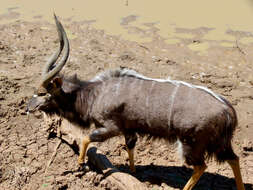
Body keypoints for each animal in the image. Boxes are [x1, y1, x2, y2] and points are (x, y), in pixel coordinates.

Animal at [26, 15, 244, 189]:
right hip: (219, 144)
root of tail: (228, 110)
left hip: (191, 143)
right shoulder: (129, 130)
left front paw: (80, 164)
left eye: (42, 93)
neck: (93, 94)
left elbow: (87, 138)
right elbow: (130, 148)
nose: (28, 108)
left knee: (201, 166)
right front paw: (133, 174)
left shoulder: (111, 127)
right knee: (234, 159)